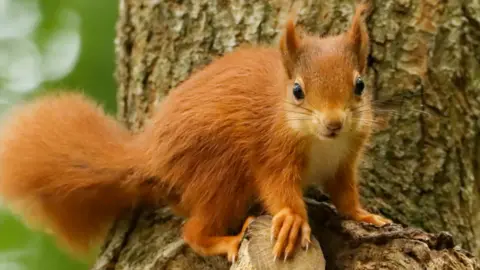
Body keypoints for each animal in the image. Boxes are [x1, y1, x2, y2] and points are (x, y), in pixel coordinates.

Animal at [0, 1, 390, 264]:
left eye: (360, 85)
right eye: (297, 91)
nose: (334, 123)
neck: (321, 142)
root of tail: (150, 158)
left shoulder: (343, 161)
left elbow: (345, 194)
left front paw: (365, 215)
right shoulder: (271, 151)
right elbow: (278, 189)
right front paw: (293, 220)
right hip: (220, 175)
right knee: (193, 231)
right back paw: (225, 241)